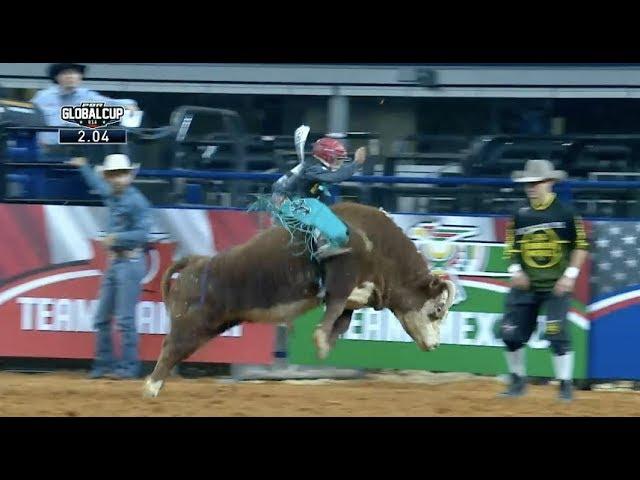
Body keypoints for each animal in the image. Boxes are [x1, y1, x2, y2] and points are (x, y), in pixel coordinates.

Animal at [144, 202, 456, 398]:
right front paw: (320, 340)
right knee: (171, 347)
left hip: (211, 325)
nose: (436, 345)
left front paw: (324, 347)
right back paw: (151, 388)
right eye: (437, 309)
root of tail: (197, 263)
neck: (376, 244)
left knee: (176, 349)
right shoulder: (342, 277)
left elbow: (342, 319)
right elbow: (335, 307)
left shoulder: (351, 297)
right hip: (193, 322)